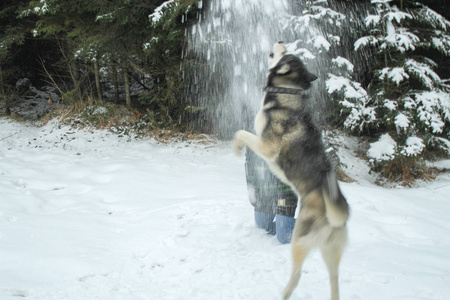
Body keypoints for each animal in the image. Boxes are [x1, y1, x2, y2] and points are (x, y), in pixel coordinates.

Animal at [234, 42, 350, 300]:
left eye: (285, 54)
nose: (281, 41)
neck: (289, 91)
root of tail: (336, 217)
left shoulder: (266, 147)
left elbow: (241, 133)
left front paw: (236, 148)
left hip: (298, 240)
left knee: (296, 276)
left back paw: (283, 292)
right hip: (331, 252)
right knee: (335, 282)